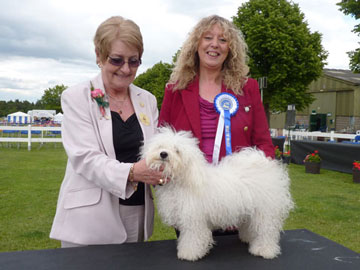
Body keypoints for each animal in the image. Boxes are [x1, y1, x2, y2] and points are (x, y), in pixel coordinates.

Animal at [142, 127, 294, 262]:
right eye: (161, 146)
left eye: (177, 150)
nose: (163, 154)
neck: (184, 178)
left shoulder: (194, 220)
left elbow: (192, 238)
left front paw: (188, 253)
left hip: (265, 212)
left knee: (266, 232)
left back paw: (264, 250)